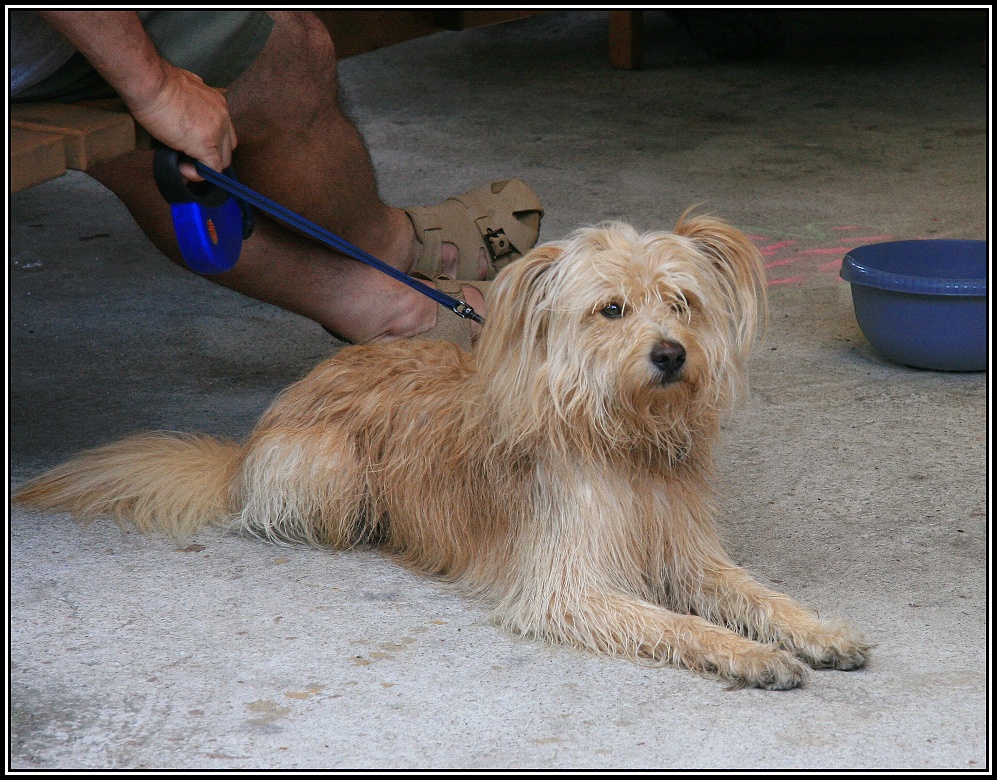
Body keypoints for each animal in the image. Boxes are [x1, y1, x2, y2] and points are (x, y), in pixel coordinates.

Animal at [17, 213, 872, 688]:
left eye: (682, 302)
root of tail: (249, 443)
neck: (619, 437)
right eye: (610, 309)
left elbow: (759, 595)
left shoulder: (690, 557)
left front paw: (816, 632)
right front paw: (749, 656)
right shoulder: (564, 588)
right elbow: (674, 625)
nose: (669, 355)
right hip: (330, 472)